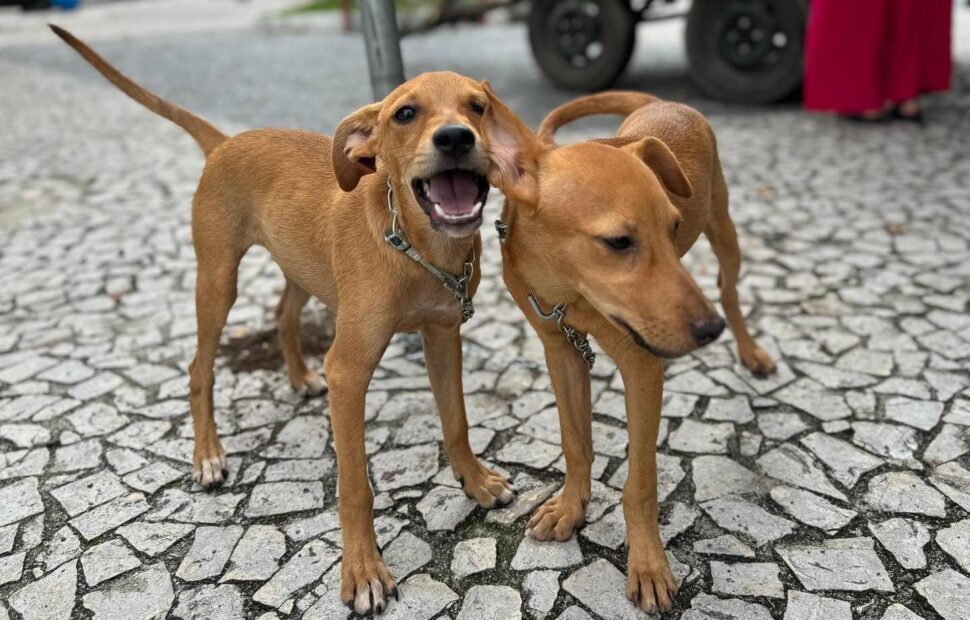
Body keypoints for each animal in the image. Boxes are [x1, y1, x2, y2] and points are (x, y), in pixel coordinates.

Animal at [52, 25, 528, 616]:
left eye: (478, 107)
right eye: (405, 113)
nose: (457, 138)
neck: (418, 250)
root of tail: (224, 142)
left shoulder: (443, 336)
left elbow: (456, 422)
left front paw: (476, 481)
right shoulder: (348, 371)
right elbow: (355, 485)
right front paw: (362, 569)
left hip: (303, 270)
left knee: (282, 317)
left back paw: (300, 376)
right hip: (217, 282)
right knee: (198, 368)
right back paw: (208, 455)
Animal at [484, 92, 780, 616]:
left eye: (673, 228)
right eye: (618, 242)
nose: (709, 332)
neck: (571, 293)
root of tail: (664, 102)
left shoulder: (642, 367)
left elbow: (639, 483)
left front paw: (647, 563)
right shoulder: (560, 351)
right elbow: (575, 442)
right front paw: (571, 506)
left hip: (725, 233)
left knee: (728, 291)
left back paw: (749, 350)